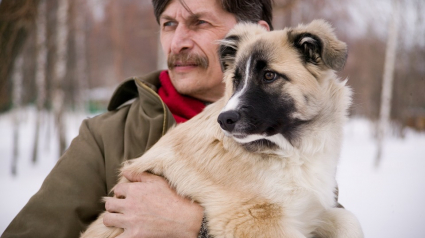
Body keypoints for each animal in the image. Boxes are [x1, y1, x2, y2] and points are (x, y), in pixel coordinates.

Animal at [81, 20, 362, 238]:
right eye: (236, 80)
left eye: (269, 76)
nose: (225, 119)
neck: (289, 151)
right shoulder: (254, 221)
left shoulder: (309, 211)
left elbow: (349, 220)